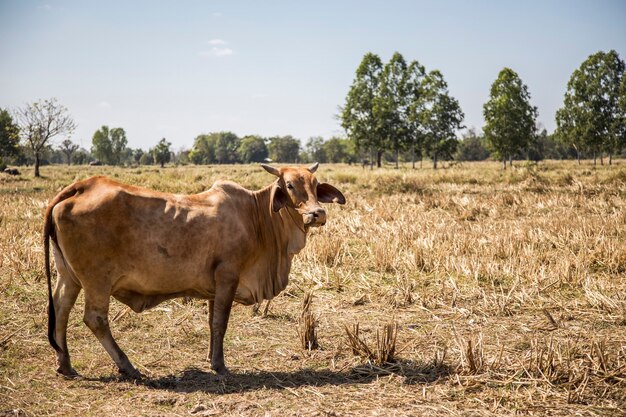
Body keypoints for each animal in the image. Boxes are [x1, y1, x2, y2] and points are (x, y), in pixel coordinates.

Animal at [44, 162, 344, 376]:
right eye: (290, 185)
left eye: (315, 185)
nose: (317, 213)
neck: (255, 216)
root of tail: (82, 186)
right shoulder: (228, 276)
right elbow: (221, 322)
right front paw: (220, 366)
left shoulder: (214, 287)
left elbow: (212, 323)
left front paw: (211, 358)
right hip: (97, 280)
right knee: (95, 319)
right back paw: (127, 366)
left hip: (69, 276)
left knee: (60, 308)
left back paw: (65, 364)